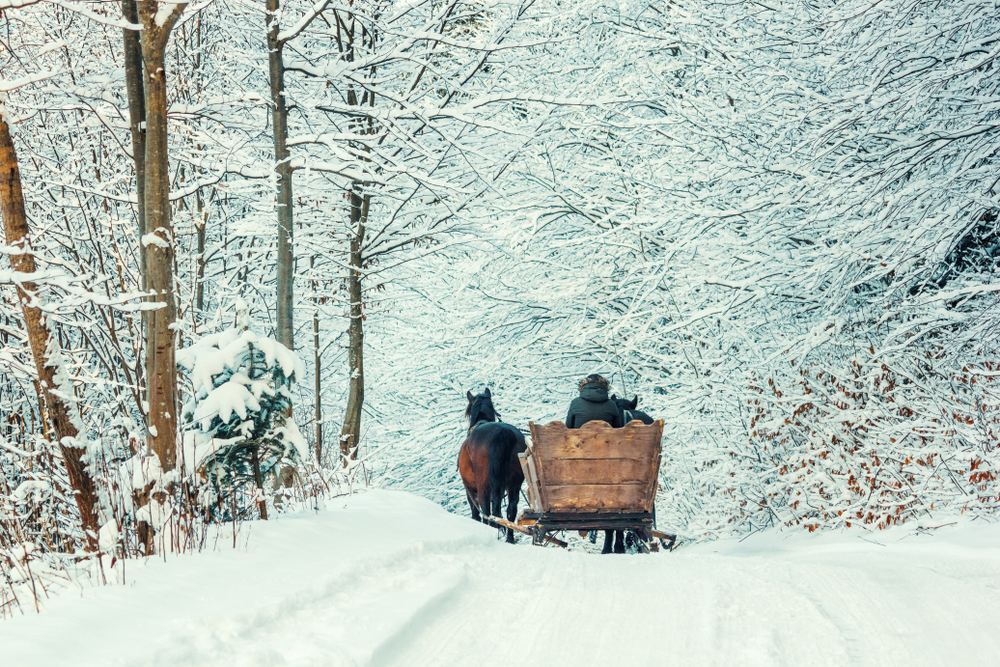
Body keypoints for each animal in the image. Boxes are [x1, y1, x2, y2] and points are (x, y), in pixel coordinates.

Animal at [458, 386, 528, 544]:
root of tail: (502, 431)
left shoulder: (469, 490)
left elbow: (476, 513)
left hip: (483, 486)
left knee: (487, 512)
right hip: (514, 483)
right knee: (510, 511)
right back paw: (509, 540)